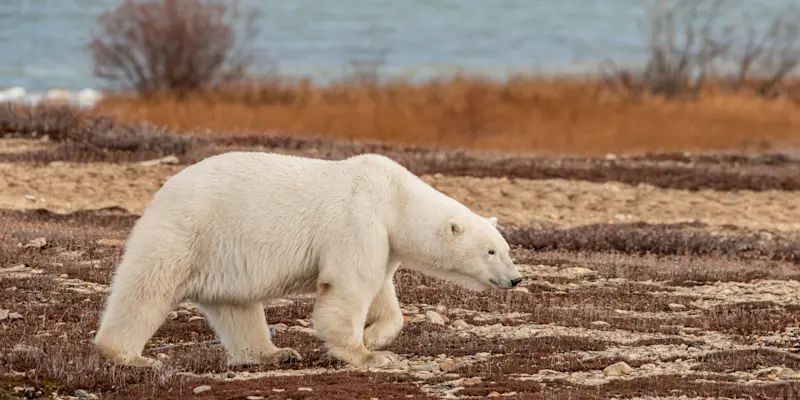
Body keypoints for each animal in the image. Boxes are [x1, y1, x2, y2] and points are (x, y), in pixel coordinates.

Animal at [93, 151, 523, 369]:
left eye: (506, 249)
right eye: (491, 251)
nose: (516, 279)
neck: (394, 196)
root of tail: (162, 190)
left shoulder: (383, 240)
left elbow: (382, 292)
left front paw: (376, 336)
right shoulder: (358, 219)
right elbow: (348, 286)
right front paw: (369, 354)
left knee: (237, 308)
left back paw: (275, 353)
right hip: (187, 230)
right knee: (146, 289)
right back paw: (130, 356)